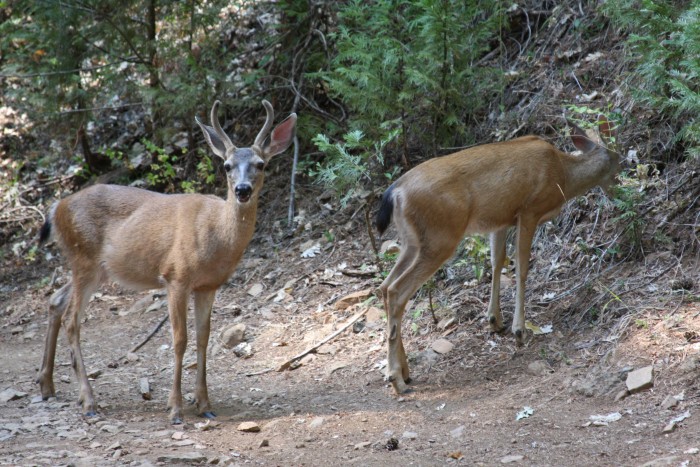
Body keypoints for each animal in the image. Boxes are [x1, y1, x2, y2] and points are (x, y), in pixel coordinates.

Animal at [37, 98, 296, 424]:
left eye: (261, 164)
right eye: (226, 166)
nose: (242, 190)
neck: (215, 235)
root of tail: (57, 207)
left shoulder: (208, 285)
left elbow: (203, 338)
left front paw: (204, 404)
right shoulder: (176, 276)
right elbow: (179, 339)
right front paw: (175, 408)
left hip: (94, 268)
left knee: (56, 300)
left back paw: (47, 385)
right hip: (84, 259)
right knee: (72, 319)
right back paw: (89, 401)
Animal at [378, 118, 616, 394]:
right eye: (619, 158)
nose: (623, 181)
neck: (563, 177)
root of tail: (395, 193)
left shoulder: (500, 219)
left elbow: (497, 260)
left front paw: (495, 320)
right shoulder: (529, 210)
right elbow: (521, 267)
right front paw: (519, 330)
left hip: (412, 242)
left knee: (385, 286)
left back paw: (404, 372)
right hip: (441, 237)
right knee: (396, 290)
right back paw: (395, 378)